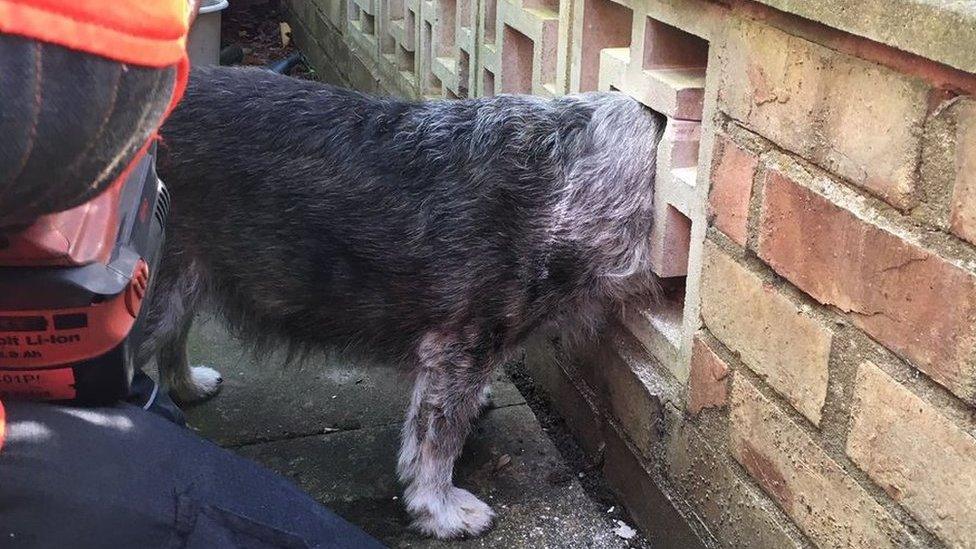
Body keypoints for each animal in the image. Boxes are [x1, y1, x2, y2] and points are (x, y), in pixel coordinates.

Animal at [143, 66, 664, 536]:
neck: (564, 177)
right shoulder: (460, 346)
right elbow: (436, 437)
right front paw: (440, 510)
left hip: (183, 278)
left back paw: (186, 385)